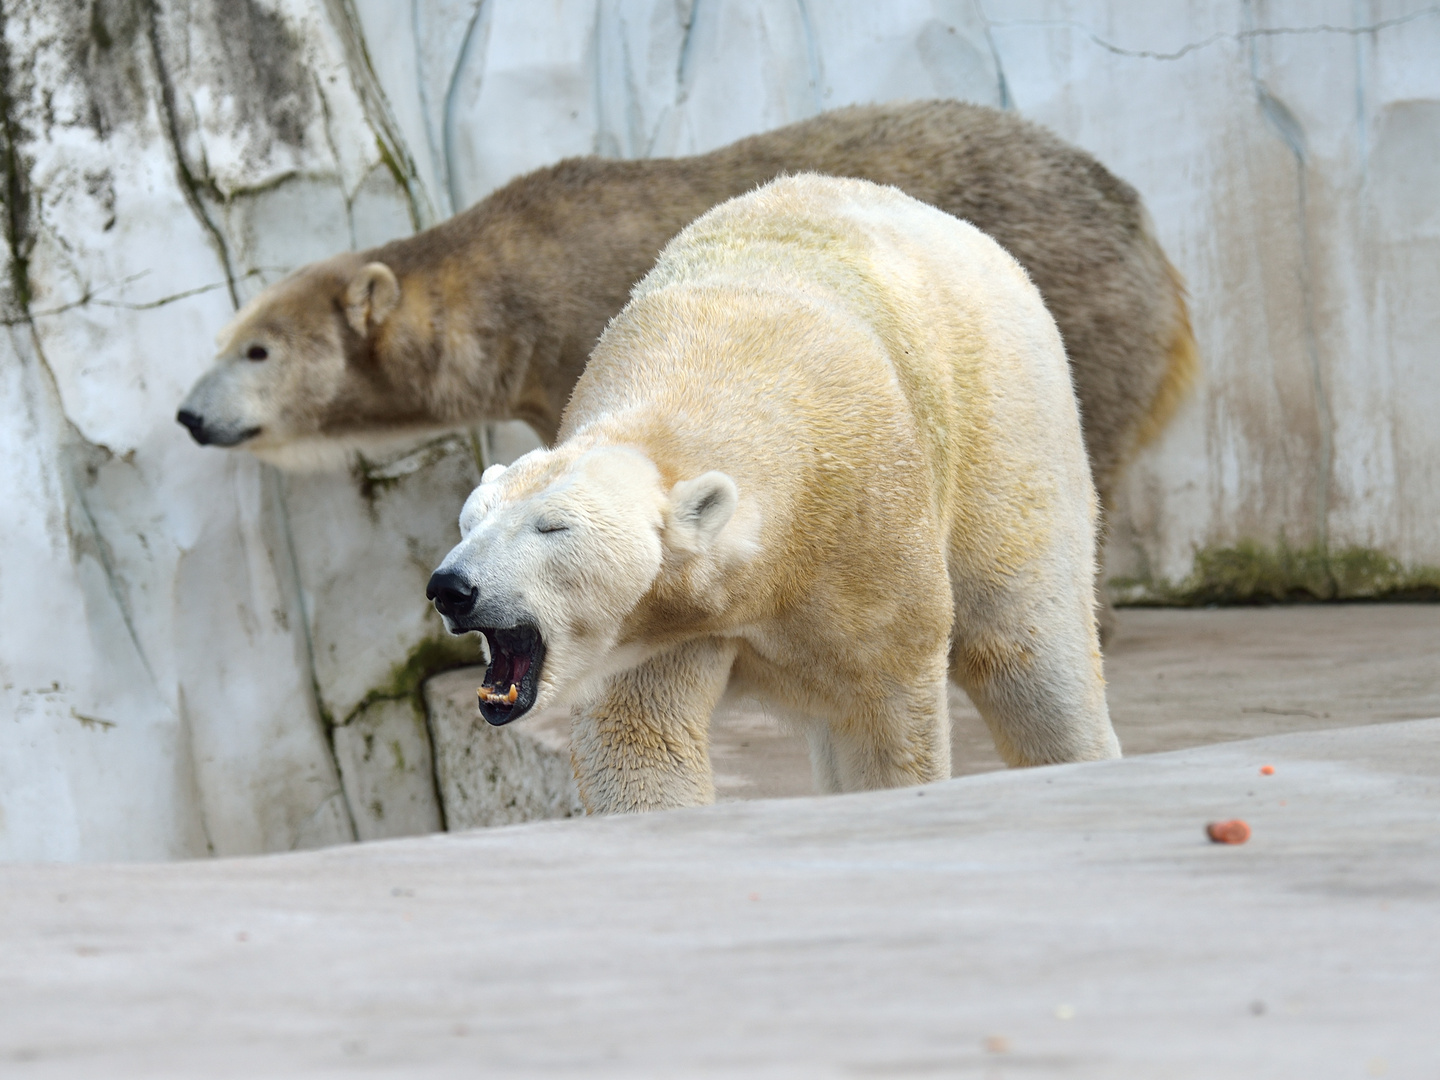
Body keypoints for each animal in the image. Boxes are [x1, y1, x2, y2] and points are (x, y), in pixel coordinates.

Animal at [420, 173, 1117, 812]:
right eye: (470, 521)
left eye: (553, 526)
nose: (452, 587)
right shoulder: (656, 623)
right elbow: (638, 736)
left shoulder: (868, 539)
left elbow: (886, 711)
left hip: (1003, 422)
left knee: (1028, 648)